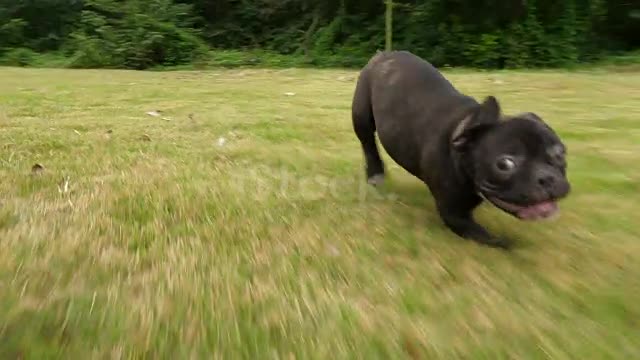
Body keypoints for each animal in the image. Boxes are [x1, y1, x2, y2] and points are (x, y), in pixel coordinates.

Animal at [352, 50, 572, 248]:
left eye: (560, 153)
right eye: (505, 163)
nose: (548, 178)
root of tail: (384, 53)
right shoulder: (454, 213)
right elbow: (488, 238)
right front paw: (512, 242)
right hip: (362, 116)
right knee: (368, 143)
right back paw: (375, 174)